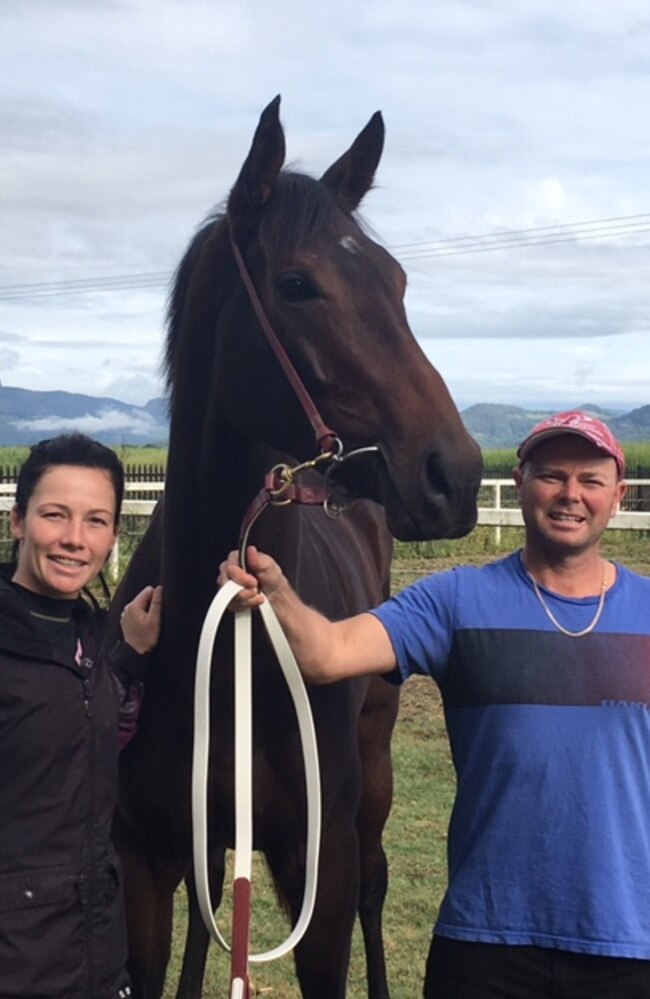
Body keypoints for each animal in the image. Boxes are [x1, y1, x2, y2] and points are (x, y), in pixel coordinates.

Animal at [110, 95, 480, 999]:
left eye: (398, 281)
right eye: (297, 284)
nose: (452, 472)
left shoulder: (325, 861)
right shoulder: (145, 859)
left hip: (372, 782)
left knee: (379, 884)